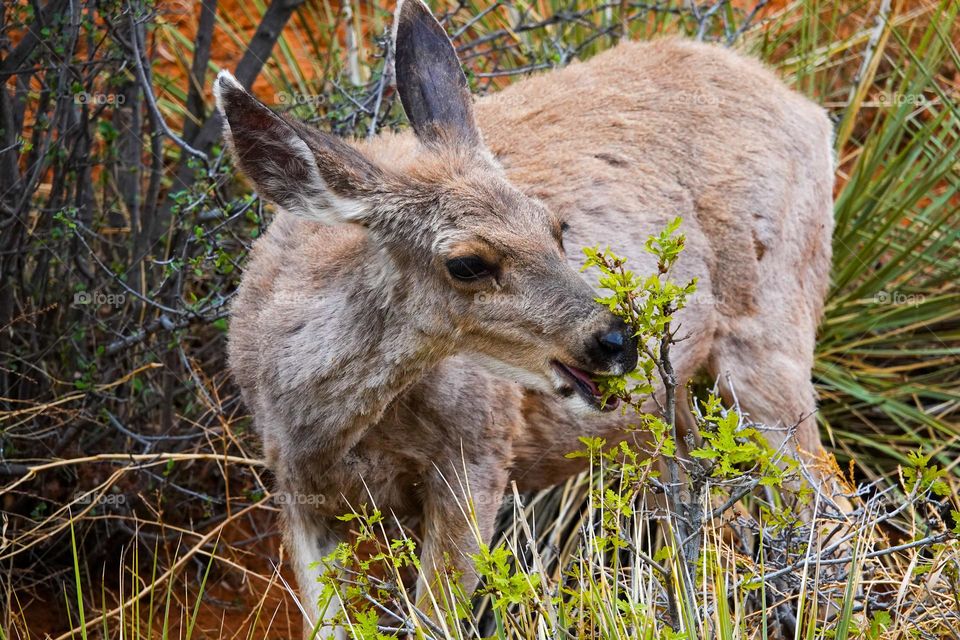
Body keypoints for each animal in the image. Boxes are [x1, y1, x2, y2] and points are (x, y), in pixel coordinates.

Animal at [215, 0, 849, 636]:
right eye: (467, 263)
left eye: (555, 227)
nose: (616, 340)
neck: (325, 423)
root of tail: (809, 110)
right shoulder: (298, 493)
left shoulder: (477, 454)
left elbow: (438, 618)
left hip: (768, 331)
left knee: (830, 506)